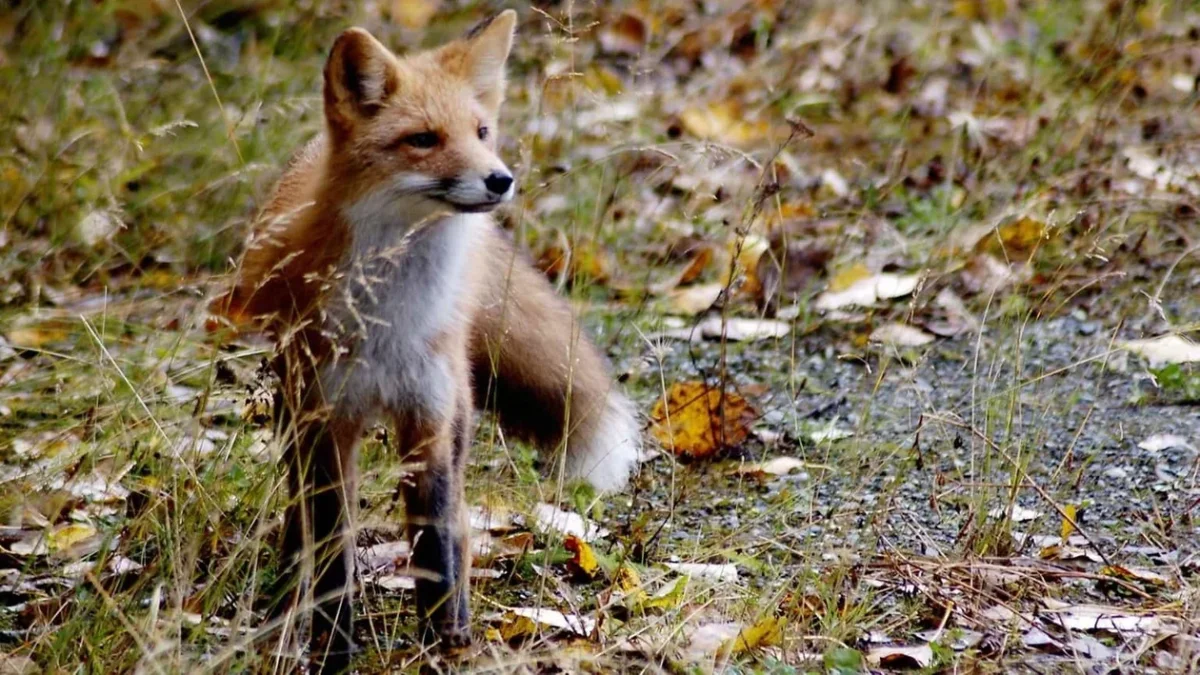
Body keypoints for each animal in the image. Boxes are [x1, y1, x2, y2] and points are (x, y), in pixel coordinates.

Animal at [213, 9, 648, 667]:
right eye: (423, 139)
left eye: (483, 131)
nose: (500, 180)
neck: (393, 319)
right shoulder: (328, 423)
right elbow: (334, 551)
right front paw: (335, 650)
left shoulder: (429, 418)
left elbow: (436, 547)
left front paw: (447, 646)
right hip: (296, 412)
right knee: (299, 516)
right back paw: (287, 592)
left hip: (457, 412)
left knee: (460, 525)